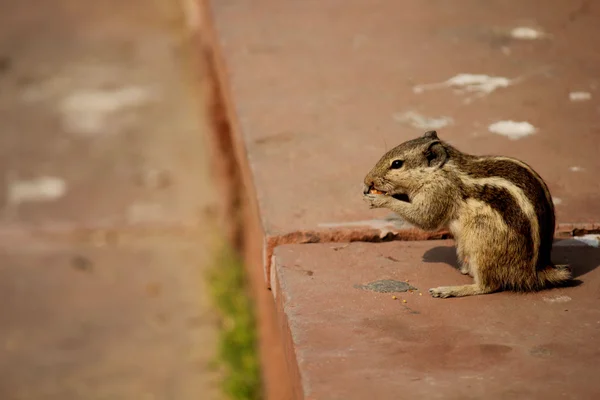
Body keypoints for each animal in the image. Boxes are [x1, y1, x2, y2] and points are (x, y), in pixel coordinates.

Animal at [360, 130, 572, 298]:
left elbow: (426, 219)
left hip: (482, 244)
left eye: (397, 164)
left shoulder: (439, 192)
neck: (441, 170)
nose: (368, 179)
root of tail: (535, 272)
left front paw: (382, 199)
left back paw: (450, 290)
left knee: (488, 286)